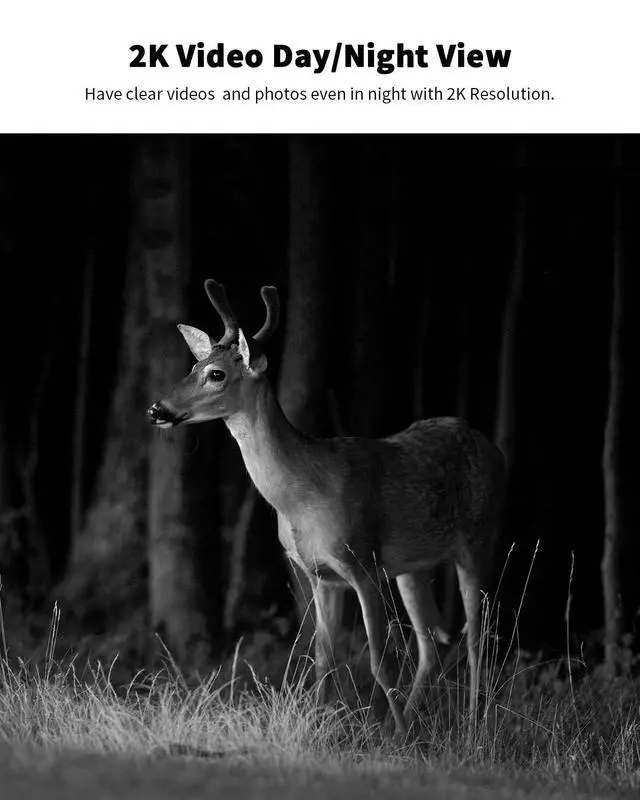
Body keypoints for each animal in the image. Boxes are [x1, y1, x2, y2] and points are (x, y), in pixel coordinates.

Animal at [147, 279, 505, 736]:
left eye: (217, 374)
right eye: (193, 367)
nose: (157, 409)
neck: (301, 500)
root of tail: (491, 446)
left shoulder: (362, 562)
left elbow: (378, 661)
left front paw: (390, 740)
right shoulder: (320, 576)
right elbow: (323, 660)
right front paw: (323, 728)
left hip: (480, 537)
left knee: (477, 637)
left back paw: (473, 725)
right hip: (413, 566)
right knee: (431, 646)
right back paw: (406, 726)